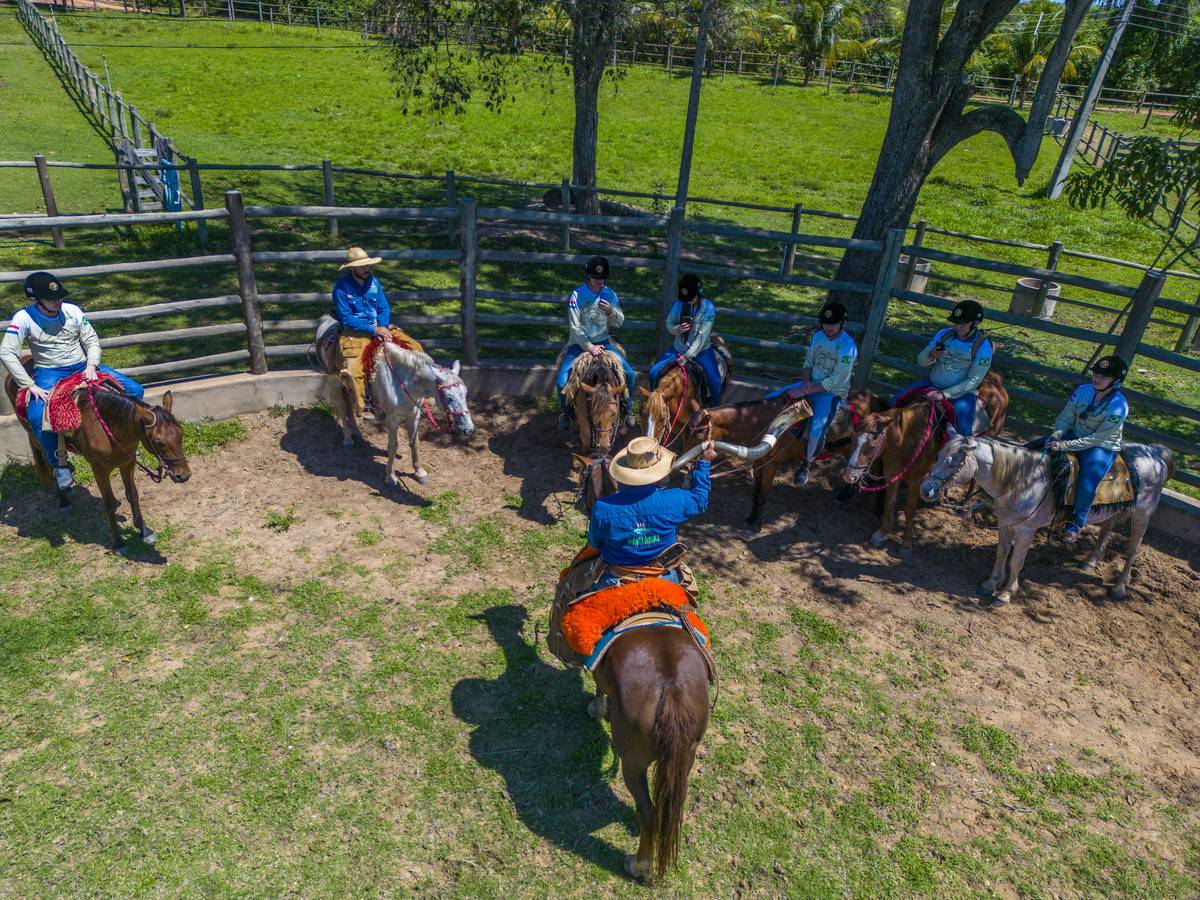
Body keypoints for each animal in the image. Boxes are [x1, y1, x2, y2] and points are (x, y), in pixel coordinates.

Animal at [3, 376, 189, 554]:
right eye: (158, 441)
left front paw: (144, 531)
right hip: (36, 438)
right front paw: (118, 543)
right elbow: (109, 503)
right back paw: (63, 498)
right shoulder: (100, 469)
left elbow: (132, 495)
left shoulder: (127, 463)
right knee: (50, 464)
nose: (183, 475)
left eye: (181, 433)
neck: (106, 426)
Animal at [333, 340, 477, 487]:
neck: (406, 383)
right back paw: (348, 438)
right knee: (343, 407)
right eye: (448, 397)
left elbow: (414, 442)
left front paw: (420, 472)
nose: (468, 429)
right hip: (339, 385)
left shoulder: (414, 415)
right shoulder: (392, 419)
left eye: (465, 393)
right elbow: (393, 446)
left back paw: (356, 432)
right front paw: (390, 477)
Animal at [585, 628, 705, 883]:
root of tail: (671, 689)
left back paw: (639, 866)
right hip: (686, 759)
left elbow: (599, 685)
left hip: (633, 765)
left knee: (646, 810)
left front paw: (597, 709)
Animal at [844, 372, 1012, 556]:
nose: (849, 476)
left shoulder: (917, 479)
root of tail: (995, 381)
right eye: (852, 438)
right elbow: (890, 503)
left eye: (873, 444)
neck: (908, 437)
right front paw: (882, 533)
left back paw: (965, 501)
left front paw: (906, 544)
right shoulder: (892, 473)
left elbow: (909, 509)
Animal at [916, 432, 1171, 607]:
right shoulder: (1006, 524)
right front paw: (991, 584)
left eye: (953, 462)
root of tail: (1155, 453)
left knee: (1132, 549)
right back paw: (1090, 561)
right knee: (1106, 529)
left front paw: (1005, 593)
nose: (926, 490)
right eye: (938, 455)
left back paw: (1118, 588)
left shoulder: (1026, 530)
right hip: (1115, 510)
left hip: (1142, 515)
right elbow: (1002, 554)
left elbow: (1016, 561)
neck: (1023, 480)